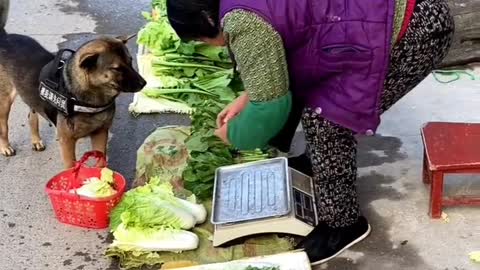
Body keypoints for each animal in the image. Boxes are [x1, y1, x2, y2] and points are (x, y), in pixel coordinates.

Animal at [0, 0, 146, 168]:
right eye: (117, 68)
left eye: (130, 62)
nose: (144, 83)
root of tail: (4, 37)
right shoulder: (67, 141)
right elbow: (70, 165)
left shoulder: (100, 133)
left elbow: (101, 162)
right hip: (5, 101)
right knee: (3, 127)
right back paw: (5, 147)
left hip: (30, 95)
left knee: (31, 115)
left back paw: (36, 140)